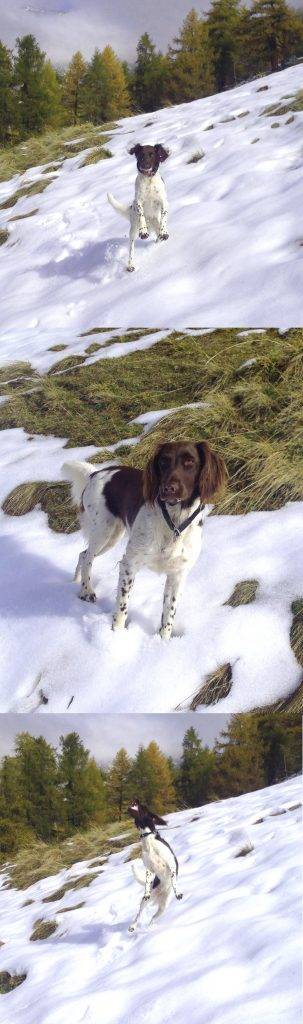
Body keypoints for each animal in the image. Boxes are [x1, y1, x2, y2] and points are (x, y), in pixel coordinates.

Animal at [62, 440, 226, 638]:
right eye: (163, 462)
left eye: (190, 461)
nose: (168, 489)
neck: (174, 521)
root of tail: (95, 473)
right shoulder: (129, 564)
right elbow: (122, 607)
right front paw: (116, 636)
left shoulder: (178, 574)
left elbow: (168, 614)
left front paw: (162, 641)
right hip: (103, 532)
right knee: (88, 557)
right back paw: (87, 591)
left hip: (112, 536)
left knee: (82, 553)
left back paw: (77, 582)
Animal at [106, 144, 168, 274]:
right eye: (141, 155)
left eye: (152, 155)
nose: (145, 165)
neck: (149, 181)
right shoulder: (139, 202)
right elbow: (141, 216)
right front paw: (143, 232)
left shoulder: (164, 202)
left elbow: (164, 217)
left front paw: (164, 232)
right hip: (133, 230)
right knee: (131, 248)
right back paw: (130, 265)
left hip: (155, 223)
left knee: (158, 235)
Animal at [125, 794, 181, 933]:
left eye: (143, 807)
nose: (136, 798)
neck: (148, 839)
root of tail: (159, 895)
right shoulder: (149, 869)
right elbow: (146, 884)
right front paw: (146, 892)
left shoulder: (171, 864)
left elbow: (174, 880)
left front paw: (178, 893)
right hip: (145, 902)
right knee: (139, 914)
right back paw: (133, 926)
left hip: (164, 906)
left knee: (153, 918)